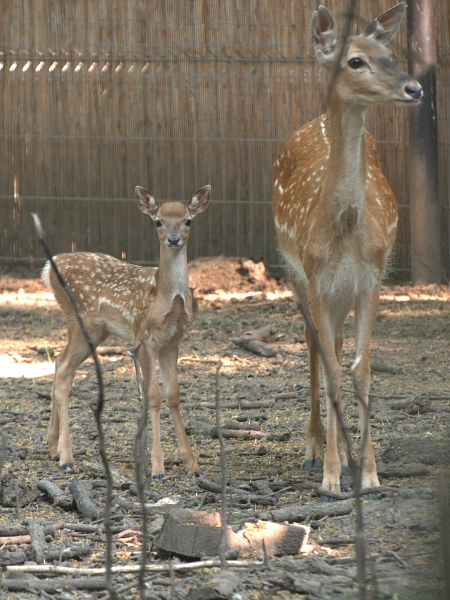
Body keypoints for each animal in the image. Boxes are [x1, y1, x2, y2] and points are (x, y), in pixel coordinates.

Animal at [43, 185, 210, 476]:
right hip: (83, 320)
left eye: (188, 220)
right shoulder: (143, 336)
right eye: (158, 221)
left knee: (59, 363)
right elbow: (153, 396)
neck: (166, 296)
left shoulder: (173, 341)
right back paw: (67, 457)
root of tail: (47, 269)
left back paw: (53, 447)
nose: (174, 239)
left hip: (95, 330)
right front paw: (157, 466)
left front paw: (192, 463)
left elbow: (173, 395)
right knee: (63, 371)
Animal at [272, 3, 424, 492]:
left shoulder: (372, 278)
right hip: (296, 275)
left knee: (335, 346)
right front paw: (331, 477)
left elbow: (361, 368)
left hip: (340, 294)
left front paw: (370, 475)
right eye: (355, 60)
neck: (345, 230)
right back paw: (315, 449)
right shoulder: (317, 276)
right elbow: (333, 367)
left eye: (390, 54)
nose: (414, 87)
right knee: (314, 348)